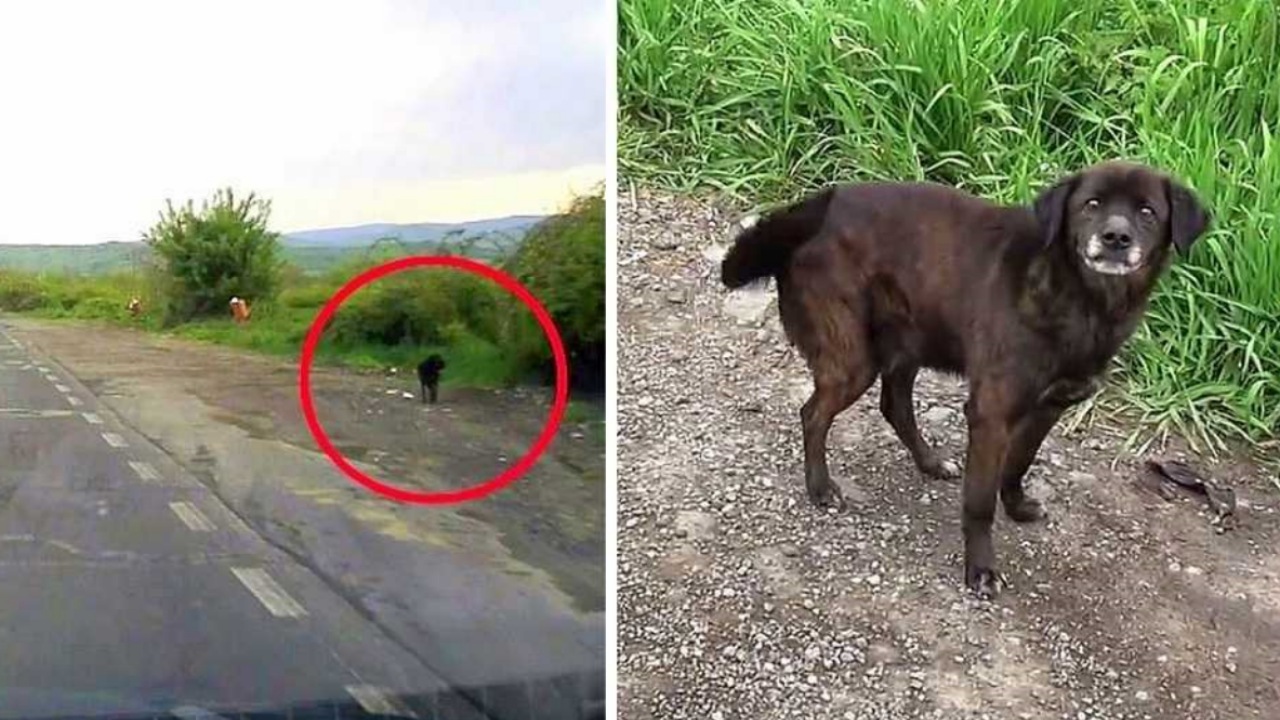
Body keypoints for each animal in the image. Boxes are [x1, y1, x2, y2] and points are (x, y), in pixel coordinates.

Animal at [721, 161, 1208, 594]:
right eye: (1091, 204)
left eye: (1147, 211)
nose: (1115, 238)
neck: (1082, 297)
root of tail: (803, 217)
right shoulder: (991, 413)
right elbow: (979, 502)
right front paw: (981, 570)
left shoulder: (1050, 404)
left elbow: (1020, 462)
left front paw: (1017, 505)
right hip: (853, 360)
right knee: (813, 414)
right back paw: (821, 487)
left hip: (909, 339)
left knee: (894, 405)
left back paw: (931, 462)